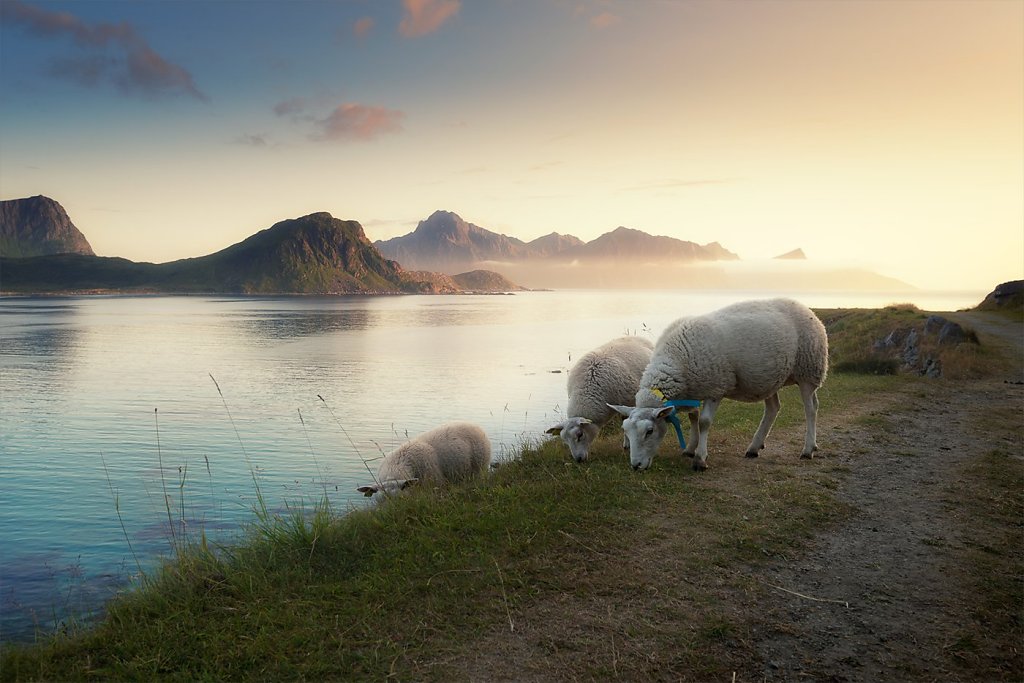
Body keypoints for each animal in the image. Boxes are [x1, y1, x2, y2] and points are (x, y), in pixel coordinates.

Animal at [548, 335, 651, 464]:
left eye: (580, 435)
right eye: (565, 441)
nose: (578, 460)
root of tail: (635, 336)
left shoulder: (628, 401)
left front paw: (628, 445)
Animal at [610, 296, 827, 473]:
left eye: (650, 431)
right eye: (625, 430)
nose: (636, 466)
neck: (676, 361)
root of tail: (807, 309)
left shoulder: (715, 387)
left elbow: (704, 422)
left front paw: (700, 459)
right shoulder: (694, 390)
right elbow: (693, 417)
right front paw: (690, 449)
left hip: (808, 369)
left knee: (810, 408)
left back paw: (808, 449)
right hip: (771, 377)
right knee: (774, 408)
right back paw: (754, 447)